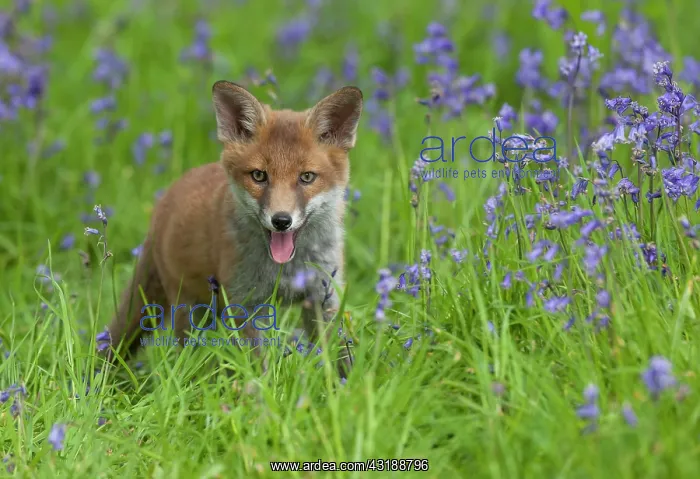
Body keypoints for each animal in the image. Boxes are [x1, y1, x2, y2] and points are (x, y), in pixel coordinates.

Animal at [103, 81, 363, 378]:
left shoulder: (323, 297)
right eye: (259, 176)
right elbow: (256, 367)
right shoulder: (244, 304)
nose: (281, 220)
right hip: (190, 311)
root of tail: (166, 199)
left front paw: (344, 386)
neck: (285, 270)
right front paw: (261, 391)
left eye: (306, 177)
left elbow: (339, 356)